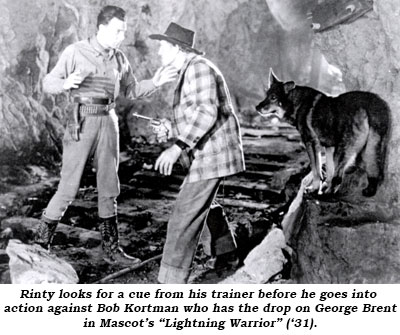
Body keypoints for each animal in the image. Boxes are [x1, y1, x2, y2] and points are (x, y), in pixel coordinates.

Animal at [256, 70, 390, 197]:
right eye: (266, 95)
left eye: (273, 97)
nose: (257, 107)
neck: (297, 103)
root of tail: (371, 105)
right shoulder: (328, 147)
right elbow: (329, 172)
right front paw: (322, 186)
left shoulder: (311, 143)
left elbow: (316, 170)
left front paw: (314, 188)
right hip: (370, 149)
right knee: (374, 173)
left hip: (342, 152)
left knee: (338, 178)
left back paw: (327, 194)